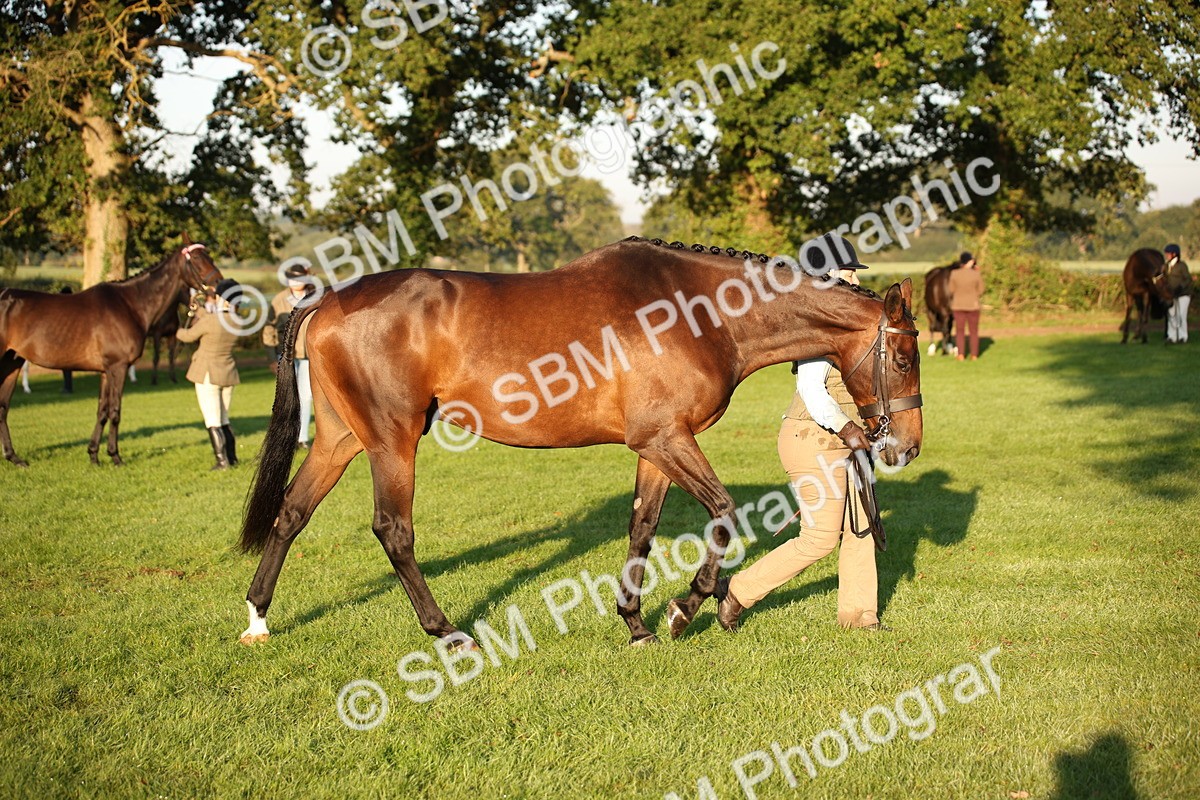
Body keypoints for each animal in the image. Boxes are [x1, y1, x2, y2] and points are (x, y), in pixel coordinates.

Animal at [0, 235, 223, 466]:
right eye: (197, 258)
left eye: (209, 255)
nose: (219, 283)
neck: (130, 305)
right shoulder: (119, 367)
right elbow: (115, 412)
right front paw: (115, 456)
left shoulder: (106, 371)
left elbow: (102, 411)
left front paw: (94, 455)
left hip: (12, 362)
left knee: (3, 407)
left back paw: (14, 457)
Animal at [236, 237, 924, 648]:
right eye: (904, 358)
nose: (906, 447)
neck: (702, 313)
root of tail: (328, 300)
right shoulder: (667, 439)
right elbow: (726, 515)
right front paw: (684, 609)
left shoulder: (655, 446)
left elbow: (642, 527)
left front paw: (637, 623)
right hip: (391, 441)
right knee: (393, 531)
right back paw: (447, 632)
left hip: (340, 439)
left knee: (291, 514)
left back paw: (257, 619)